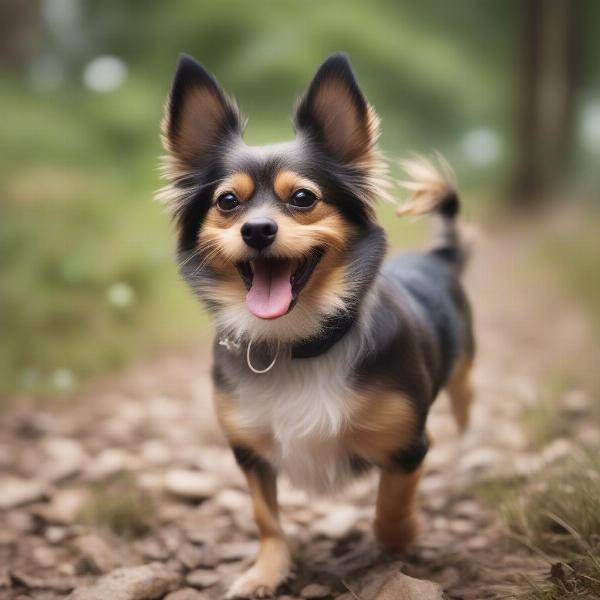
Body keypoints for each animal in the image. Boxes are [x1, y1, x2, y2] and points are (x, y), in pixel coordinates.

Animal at [158, 54, 474, 596]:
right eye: (227, 203)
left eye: (303, 198)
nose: (257, 230)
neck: (295, 342)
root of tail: (440, 256)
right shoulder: (249, 451)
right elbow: (266, 518)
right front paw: (267, 571)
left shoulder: (408, 445)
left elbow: (391, 507)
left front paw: (401, 541)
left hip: (462, 374)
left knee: (465, 402)